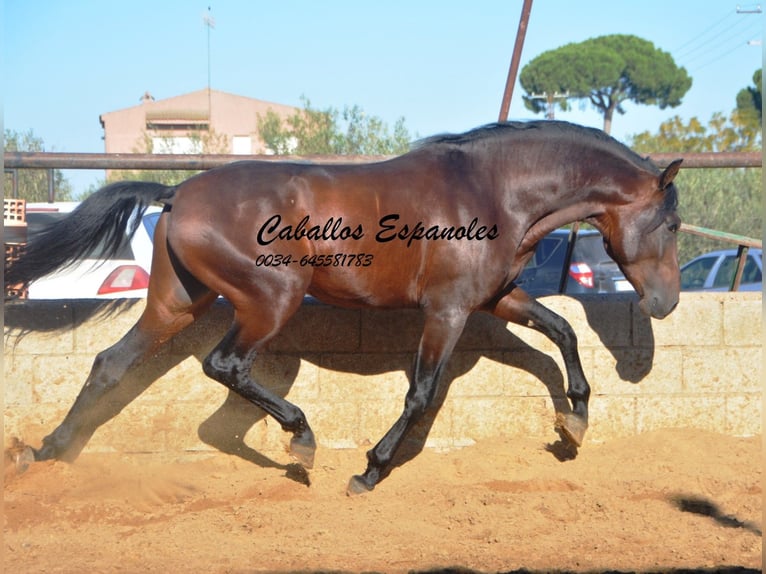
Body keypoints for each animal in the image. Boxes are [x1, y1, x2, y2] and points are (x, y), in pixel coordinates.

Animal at [6, 120, 684, 496]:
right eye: (673, 224)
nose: (666, 303)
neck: (493, 192)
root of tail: (178, 192)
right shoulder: (449, 310)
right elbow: (422, 393)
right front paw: (370, 471)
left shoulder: (495, 298)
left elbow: (564, 330)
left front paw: (575, 423)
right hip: (271, 300)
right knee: (224, 367)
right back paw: (302, 441)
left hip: (179, 304)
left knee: (110, 364)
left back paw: (46, 451)